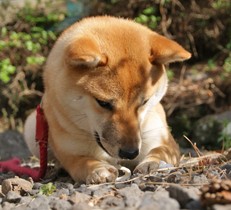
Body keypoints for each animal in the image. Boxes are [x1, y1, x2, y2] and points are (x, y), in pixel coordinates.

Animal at [23, 16, 191, 184]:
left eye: (144, 102)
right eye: (103, 103)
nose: (130, 153)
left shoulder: (162, 139)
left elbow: (160, 150)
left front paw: (152, 163)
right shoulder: (70, 153)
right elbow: (82, 162)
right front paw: (97, 169)